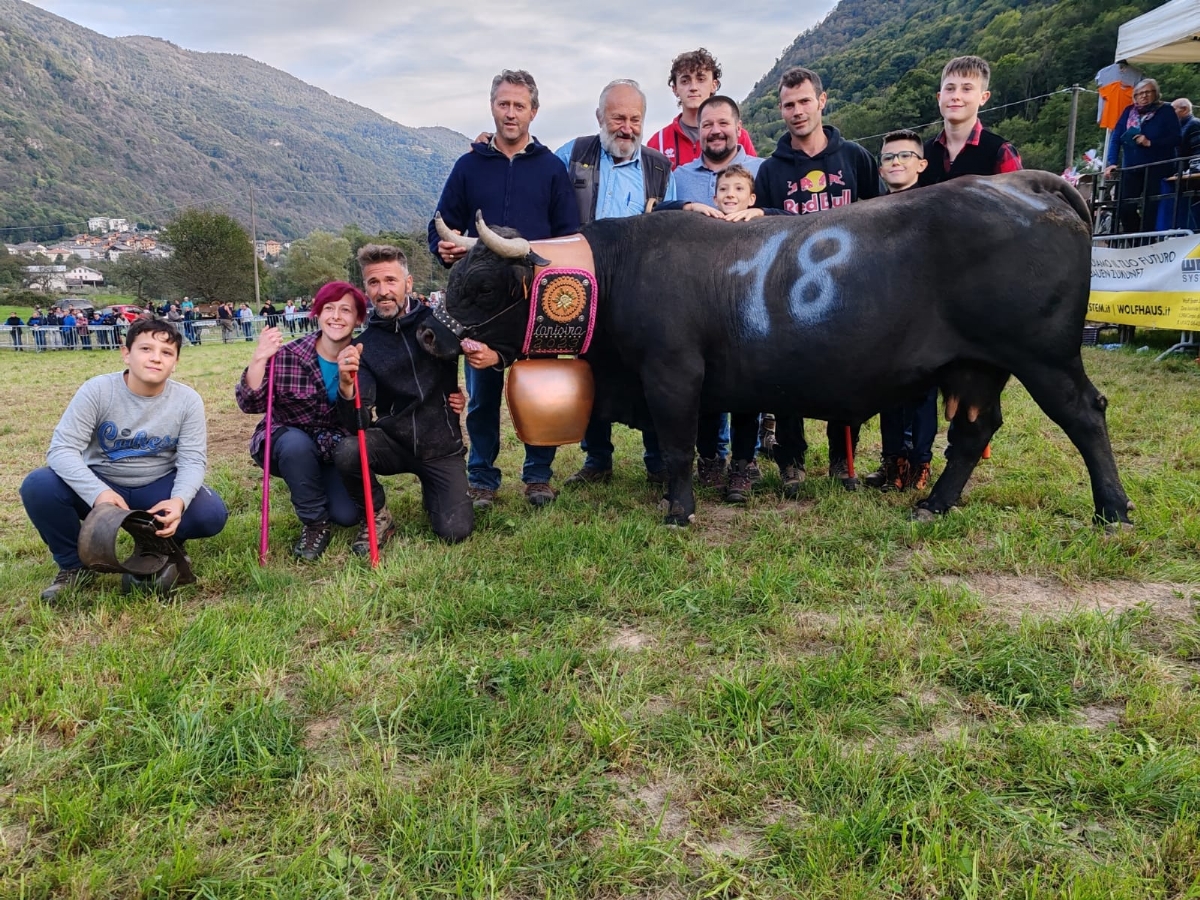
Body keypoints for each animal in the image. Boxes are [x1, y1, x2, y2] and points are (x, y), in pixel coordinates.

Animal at [422, 169, 1132, 528]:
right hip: (976, 365)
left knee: (1085, 415)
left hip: (1043, 357)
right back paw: (932, 505)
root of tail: (1027, 183)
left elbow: (676, 447)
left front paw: (678, 511)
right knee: (972, 432)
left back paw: (1113, 510)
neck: (620, 270)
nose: (428, 332)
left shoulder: (672, 374)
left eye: (481, 285)